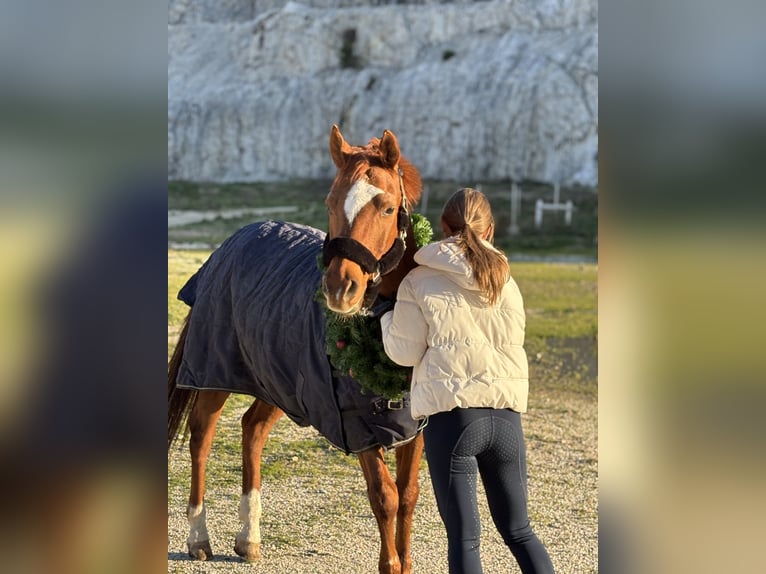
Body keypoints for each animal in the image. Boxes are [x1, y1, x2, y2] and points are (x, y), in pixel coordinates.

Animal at [168, 125, 426, 574]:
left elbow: (408, 496)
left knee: (252, 430)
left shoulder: (415, 426)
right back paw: (199, 536)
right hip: (215, 371)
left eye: (388, 208)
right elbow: (386, 498)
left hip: (278, 382)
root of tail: (235, 238)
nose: (340, 288)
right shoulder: (359, 429)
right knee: (202, 437)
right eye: (330, 202)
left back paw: (248, 537)